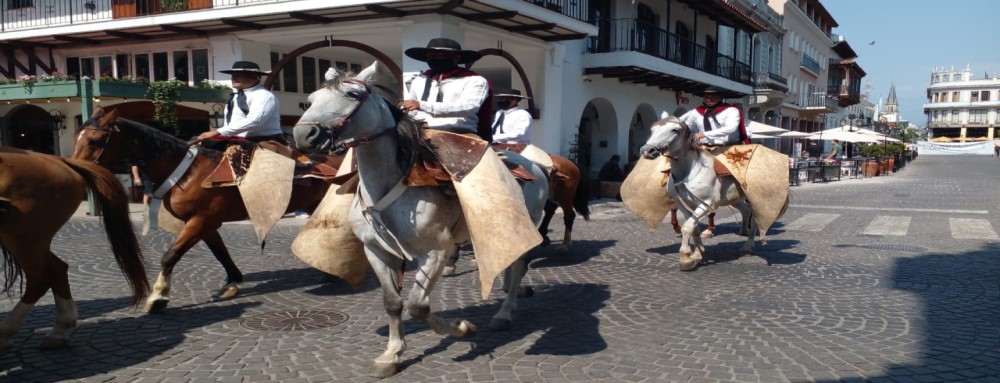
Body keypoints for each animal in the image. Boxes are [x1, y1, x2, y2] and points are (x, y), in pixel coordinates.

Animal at [0, 147, 148, 354]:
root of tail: (59, 160)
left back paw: (7, 333)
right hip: (31, 240)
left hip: (24, 238)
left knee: (41, 278)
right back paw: (59, 330)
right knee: (57, 269)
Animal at [71, 108, 340, 316]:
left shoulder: (201, 220)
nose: (75, 171)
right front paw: (233, 281)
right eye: (77, 137)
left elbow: (170, 255)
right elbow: (220, 254)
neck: (188, 172)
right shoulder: (206, 223)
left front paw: (158, 297)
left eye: (94, 140)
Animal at [292, 63, 552, 378]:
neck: (394, 181)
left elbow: (418, 305)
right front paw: (391, 355)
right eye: (311, 98)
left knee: (517, 267)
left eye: (352, 94)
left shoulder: (435, 252)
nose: (304, 134)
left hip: (528, 224)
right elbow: (393, 303)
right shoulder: (376, 251)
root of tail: (535, 165)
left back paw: (504, 312)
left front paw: (462, 328)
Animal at [640, 118, 756, 272]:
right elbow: (694, 227)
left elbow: (687, 227)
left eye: (674, 130)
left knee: (755, 218)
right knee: (746, 211)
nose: (647, 151)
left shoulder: (706, 204)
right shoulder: (682, 203)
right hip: (734, 199)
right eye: (652, 130)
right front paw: (697, 253)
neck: (689, 171)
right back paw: (743, 231)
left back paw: (748, 245)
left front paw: (685, 257)